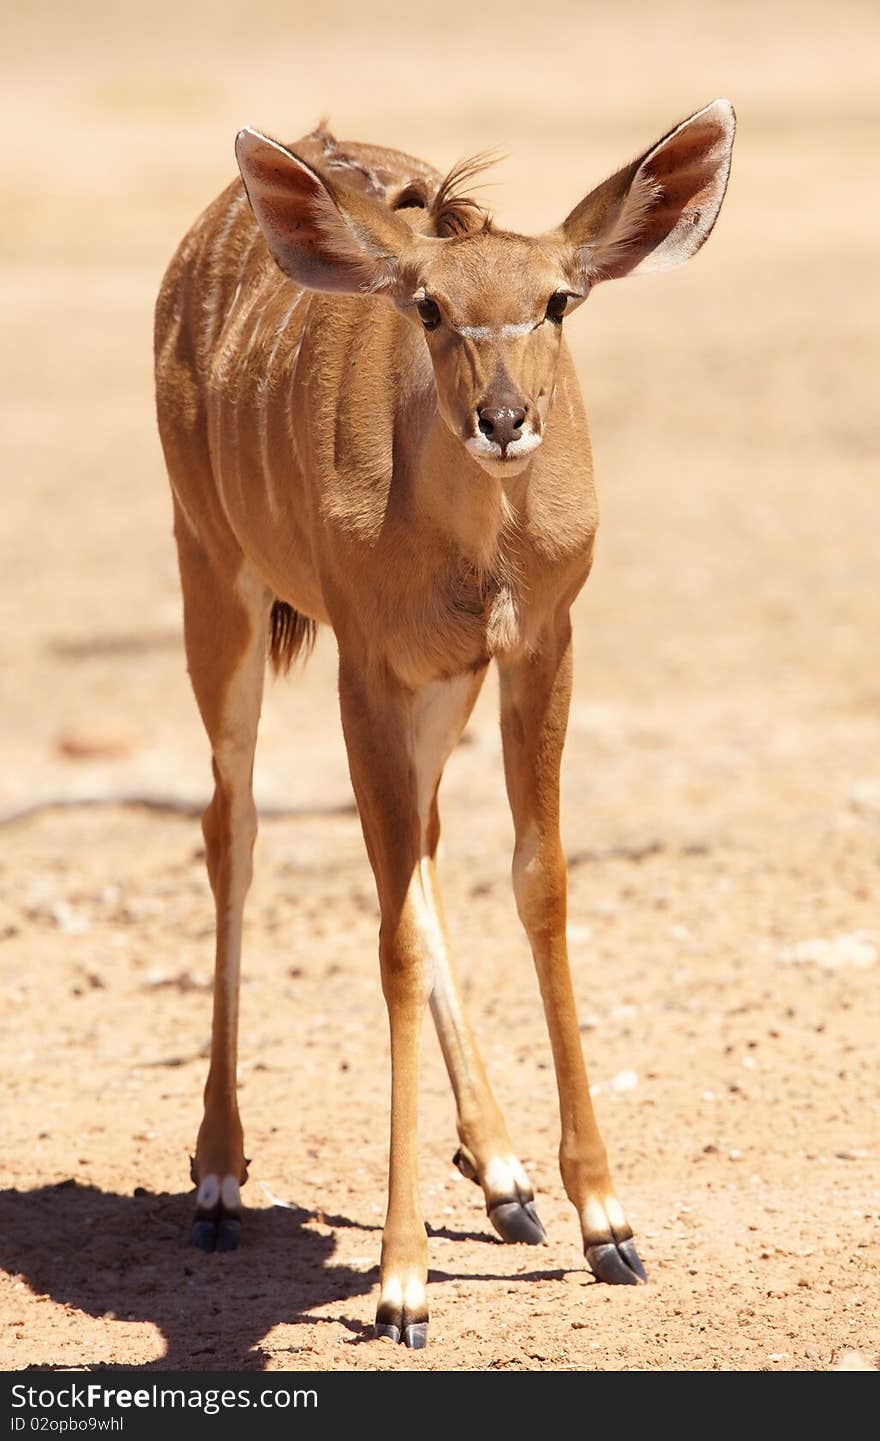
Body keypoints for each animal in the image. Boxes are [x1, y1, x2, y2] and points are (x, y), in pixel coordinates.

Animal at [156, 98, 737, 1337]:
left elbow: (535, 881)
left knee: (413, 847)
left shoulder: (536, 644)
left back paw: (504, 1173)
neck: (475, 547)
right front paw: (400, 1280)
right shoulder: (365, 663)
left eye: (558, 299)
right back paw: (220, 1174)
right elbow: (391, 937)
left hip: (436, 684)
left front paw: (604, 1220)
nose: (503, 419)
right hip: (213, 577)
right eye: (427, 308)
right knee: (234, 827)